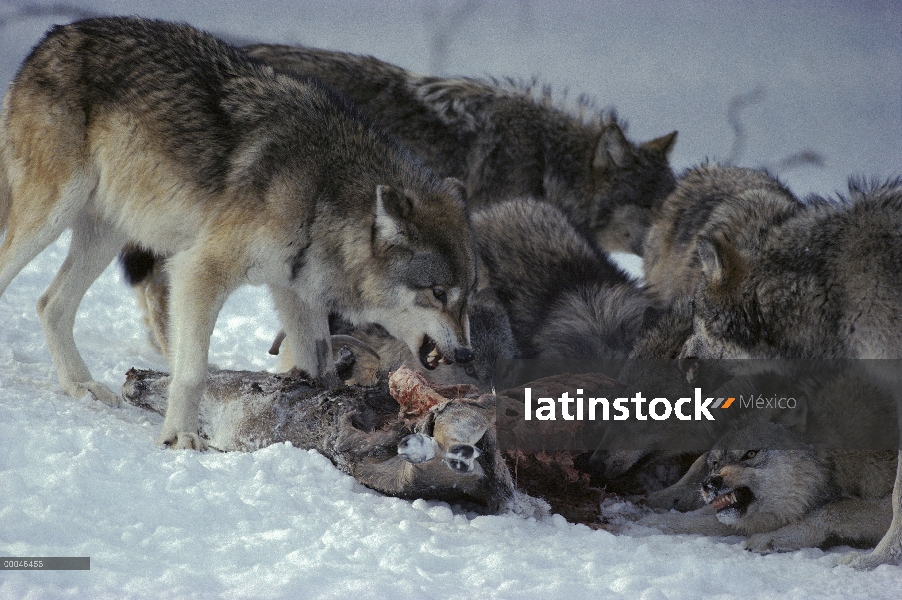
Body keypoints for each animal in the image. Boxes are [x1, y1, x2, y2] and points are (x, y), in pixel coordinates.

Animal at [0, 16, 476, 450]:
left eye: (467, 294)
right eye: (437, 292)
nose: (469, 354)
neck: (322, 194)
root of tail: (53, 36)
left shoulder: (295, 294)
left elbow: (317, 367)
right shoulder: (197, 272)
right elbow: (192, 372)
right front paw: (181, 437)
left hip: (106, 233)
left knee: (49, 304)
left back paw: (82, 386)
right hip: (50, 215)